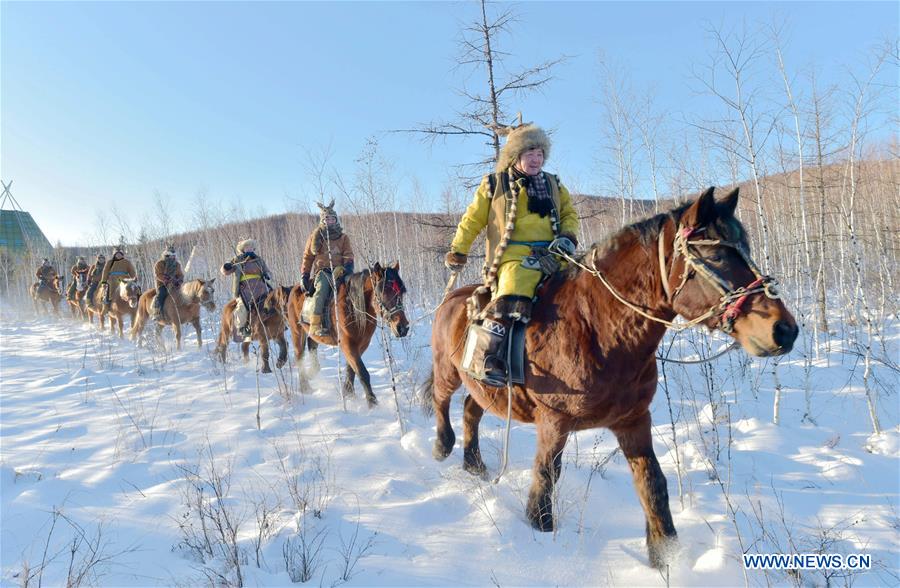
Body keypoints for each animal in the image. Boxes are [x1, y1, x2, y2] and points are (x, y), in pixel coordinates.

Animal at [286, 262, 410, 406]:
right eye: (383, 291)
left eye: (402, 292)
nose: (403, 327)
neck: (352, 307)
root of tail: (294, 289)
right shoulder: (347, 344)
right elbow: (362, 372)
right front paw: (372, 402)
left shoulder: (361, 345)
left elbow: (351, 369)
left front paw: (348, 393)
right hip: (297, 332)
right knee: (299, 356)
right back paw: (305, 387)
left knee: (312, 346)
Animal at [426, 188, 800, 568]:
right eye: (716, 255)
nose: (784, 330)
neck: (597, 328)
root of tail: (452, 296)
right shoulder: (553, 421)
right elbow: (545, 477)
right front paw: (539, 528)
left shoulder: (633, 420)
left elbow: (652, 483)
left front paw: (665, 553)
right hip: (447, 370)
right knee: (442, 401)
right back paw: (443, 446)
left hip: (484, 389)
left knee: (471, 409)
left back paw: (474, 465)